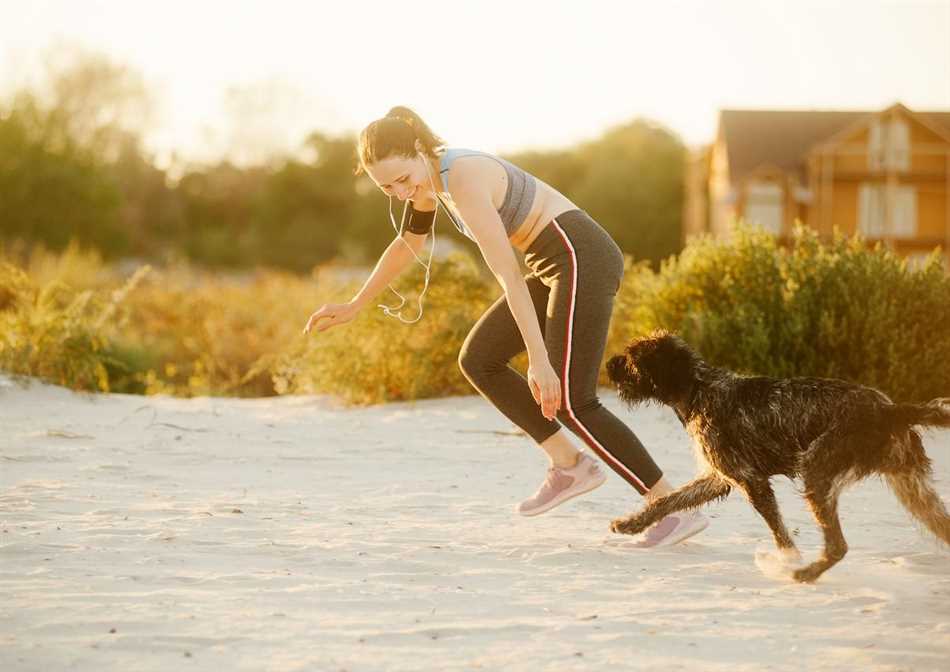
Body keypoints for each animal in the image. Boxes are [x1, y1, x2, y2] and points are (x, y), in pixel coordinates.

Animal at [608, 332, 950, 584]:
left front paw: (787, 560)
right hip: (914, 492)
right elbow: (668, 501)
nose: (609, 363)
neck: (699, 389)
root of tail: (891, 410)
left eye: (632, 358)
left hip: (816, 471)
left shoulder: (751, 480)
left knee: (838, 546)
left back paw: (804, 573)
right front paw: (631, 524)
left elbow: (780, 533)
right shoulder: (719, 478)